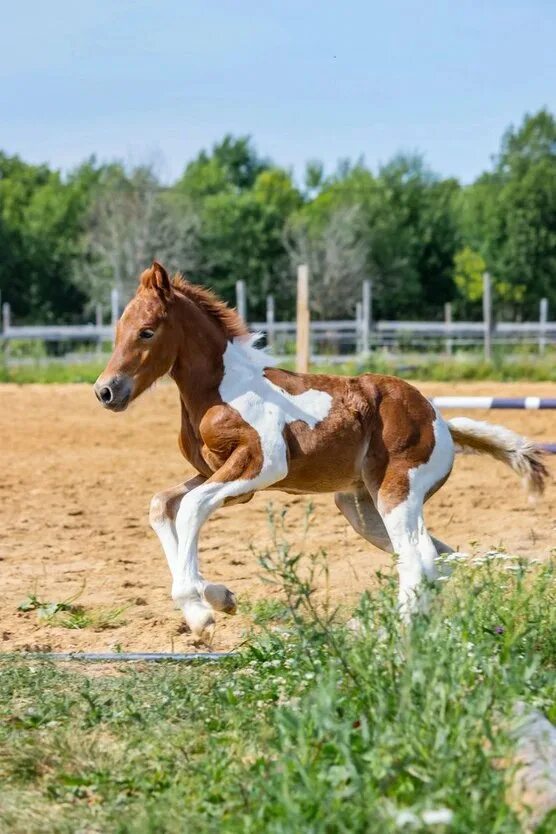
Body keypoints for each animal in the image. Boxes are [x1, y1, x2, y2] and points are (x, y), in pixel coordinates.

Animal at [94, 264, 548, 632]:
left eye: (147, 331)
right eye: (117, 330)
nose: (106, 391)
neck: (222, 389)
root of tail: (441, 421)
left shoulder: (262, 465)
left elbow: (190, 508)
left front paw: (200, 610)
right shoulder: (222, 479)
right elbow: (161, 505)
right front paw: (215, 598)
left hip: (398, 493)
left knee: (420, 558)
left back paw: (394, 640)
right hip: (362, 508)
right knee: (436, 557)